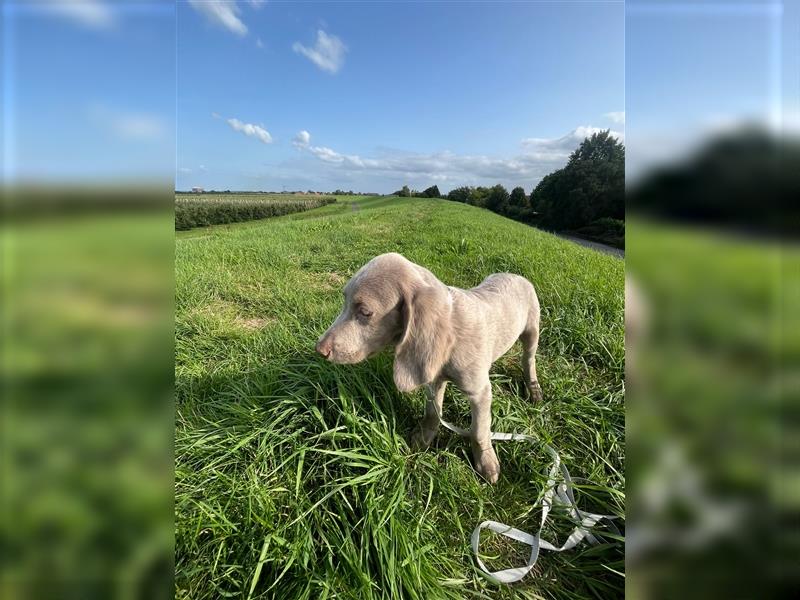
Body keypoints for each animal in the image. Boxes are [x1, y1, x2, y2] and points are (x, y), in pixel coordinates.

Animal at [318, 253, 544, 482]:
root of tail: (515, 274)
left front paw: (486, 462)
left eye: (365, 312)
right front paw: (423, 438)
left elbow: (479, 430)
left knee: (528, 359)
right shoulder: (433, 378)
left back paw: (533, 388)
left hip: (532, 330)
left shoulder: (480, 392)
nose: (319, 349)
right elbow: (432, 412)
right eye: (344, 301)